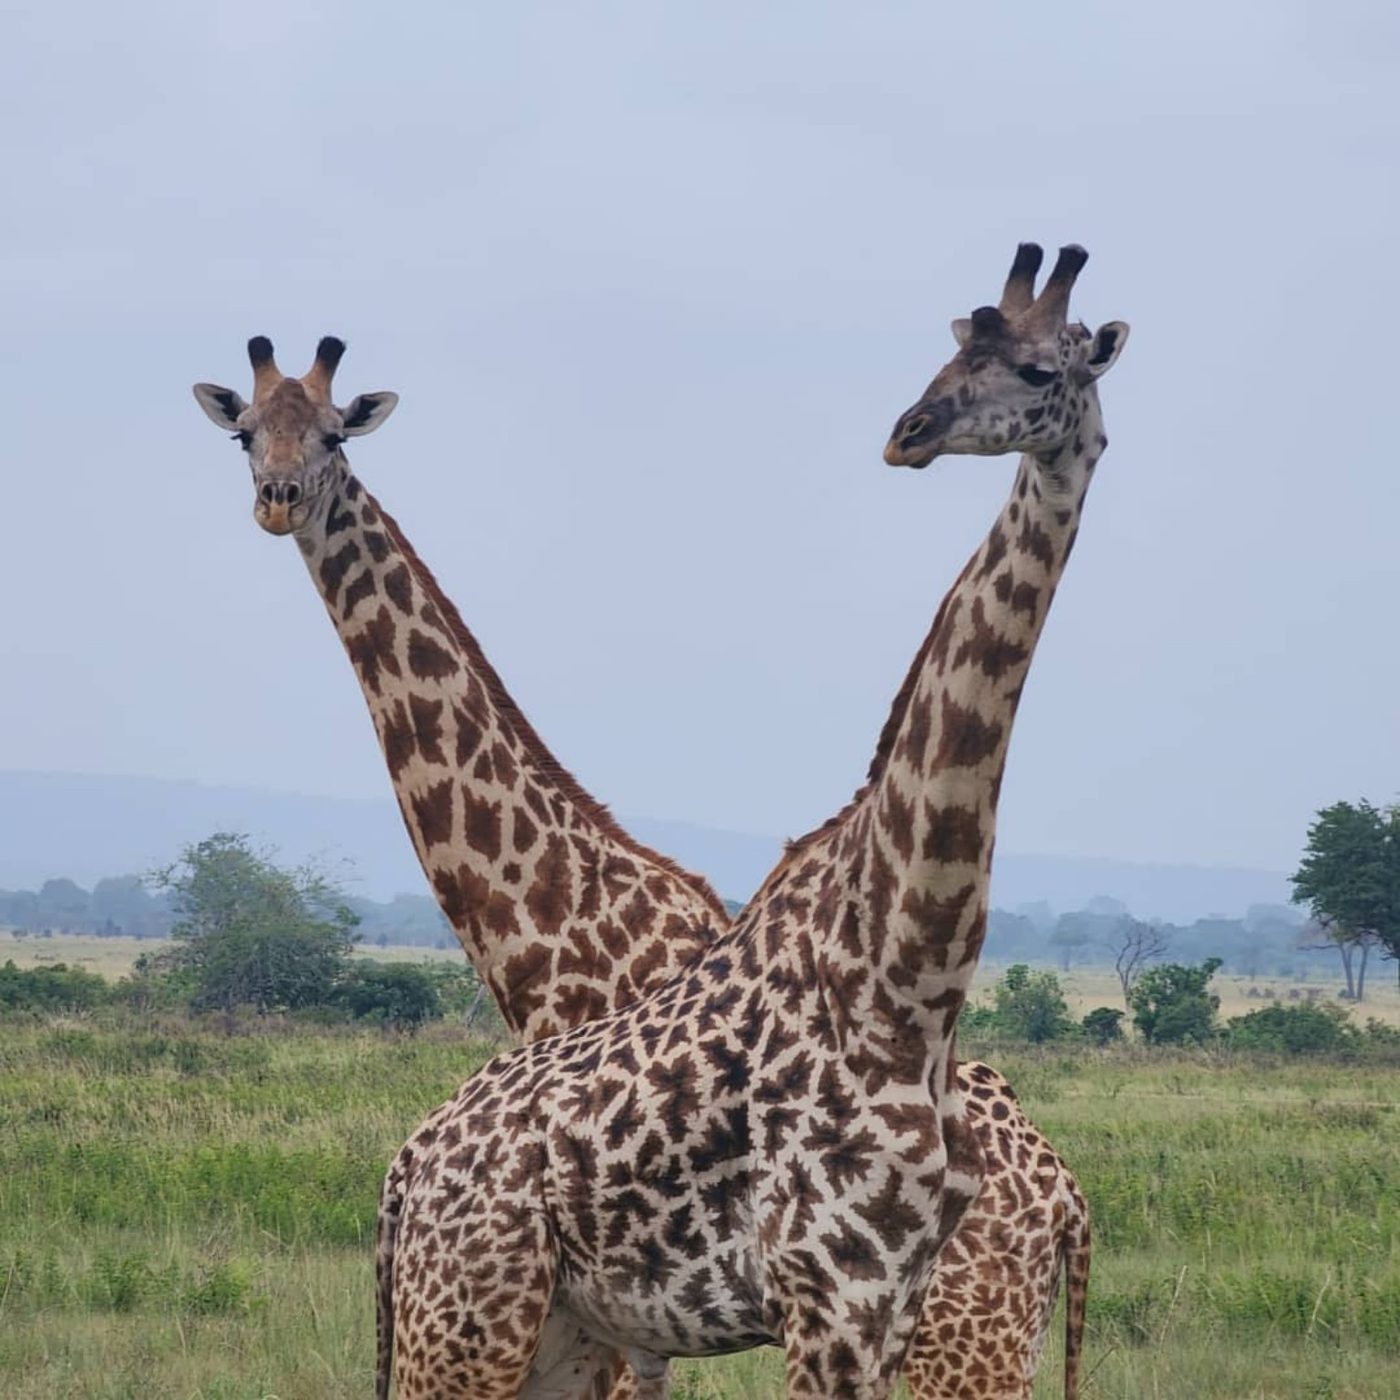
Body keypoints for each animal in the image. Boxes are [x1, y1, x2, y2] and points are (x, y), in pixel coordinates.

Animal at [189, 339, 1088, 1399]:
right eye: (247, 433)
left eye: (333, 436)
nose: (279, 497)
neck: (542, 917)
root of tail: (1067, 1199)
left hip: (962, 1336)